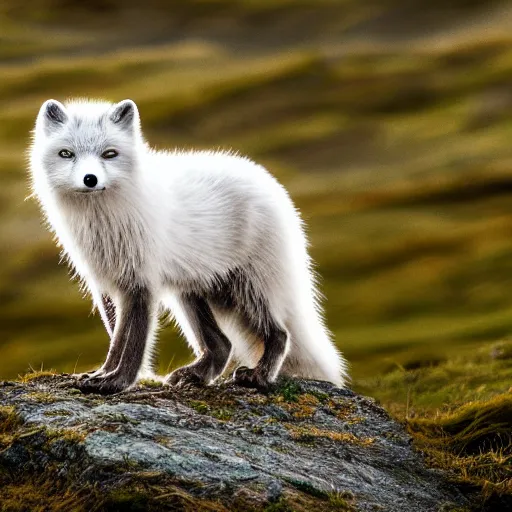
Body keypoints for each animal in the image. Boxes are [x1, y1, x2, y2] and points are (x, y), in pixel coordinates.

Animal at [29, 99, 348, 396]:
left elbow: (132, 342)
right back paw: (195, 375)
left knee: (280, 334)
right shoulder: (107, 283)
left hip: (250, 289)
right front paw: (103, 374)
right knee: (223, 345)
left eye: (109, 154)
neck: (103, 223)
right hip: (190, 292)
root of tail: (272, 185)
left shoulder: (141, 282)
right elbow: (115, 338)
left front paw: (116, 382)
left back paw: (258, 376)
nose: (90, 179)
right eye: (66, 154)